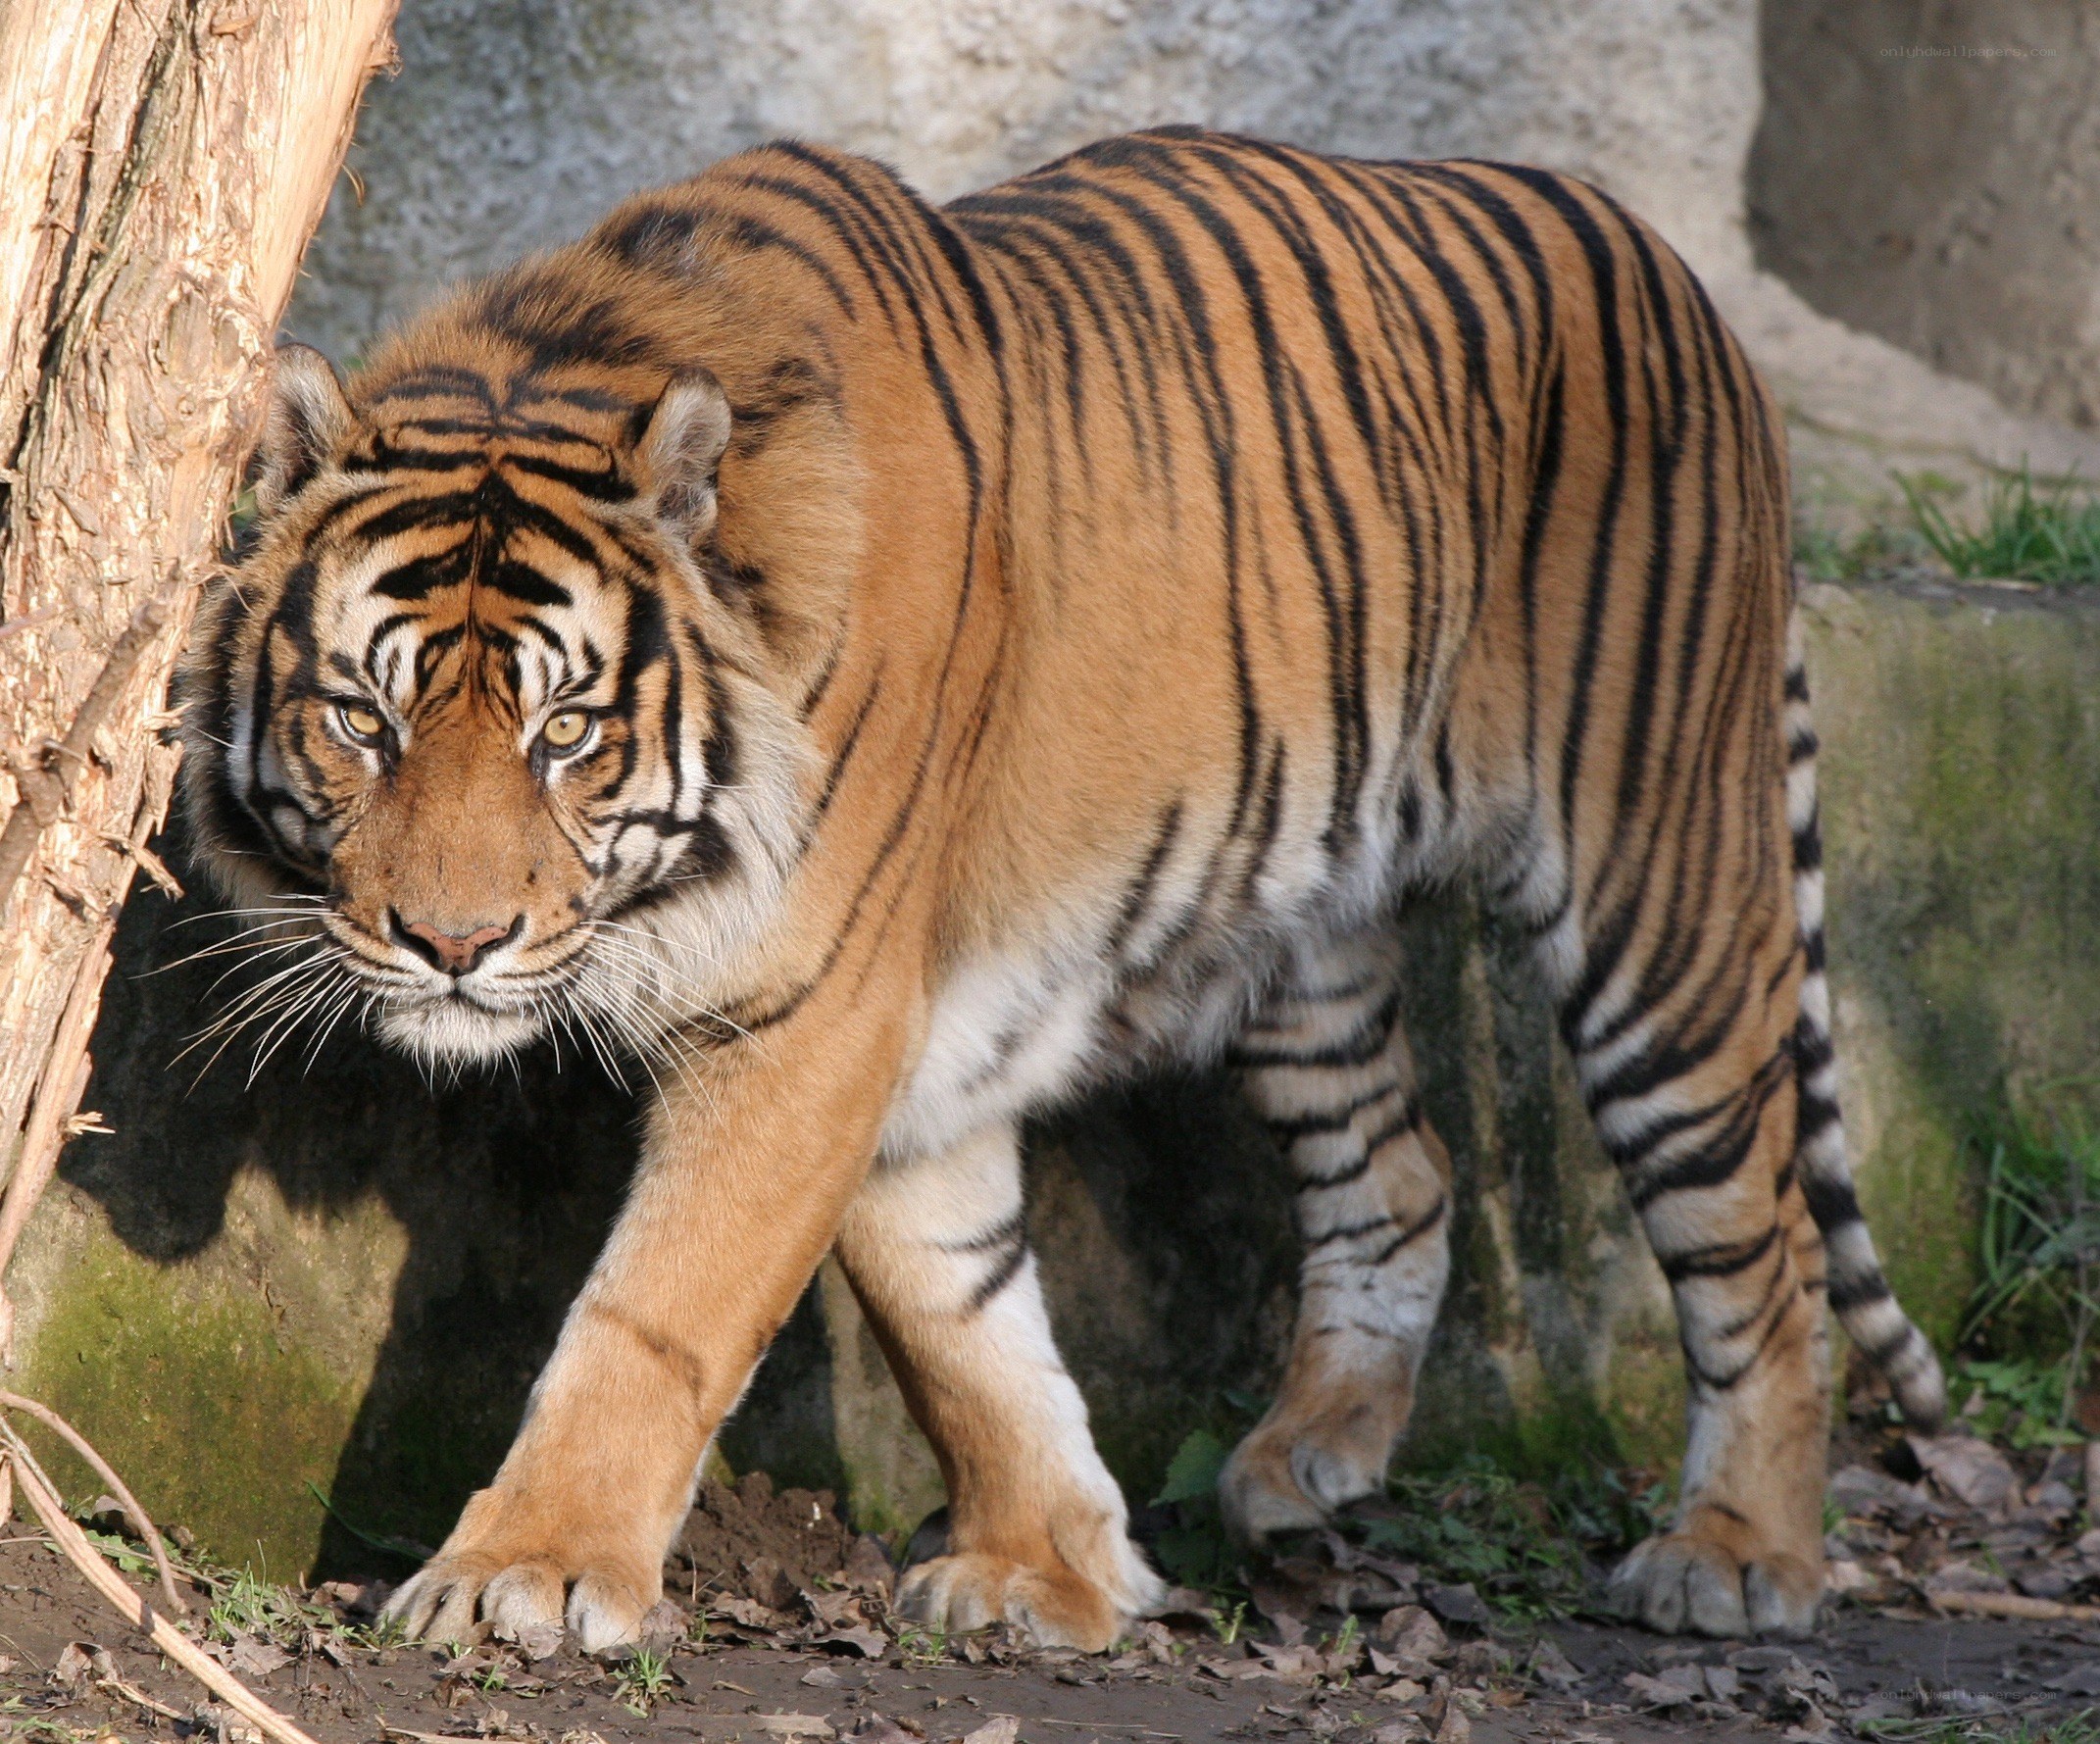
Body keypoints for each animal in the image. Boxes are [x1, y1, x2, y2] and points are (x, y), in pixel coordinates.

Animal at [179, 126, 1945, 1653]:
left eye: (564, 732)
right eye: (363, 717)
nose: (451, 941)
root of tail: (1664, 257)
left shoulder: (816, 1011)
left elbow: (657, 1311)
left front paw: (527, 1574)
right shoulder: (903, 1032)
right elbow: (959, 1316)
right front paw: (1058, 1566)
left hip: (1661, 889)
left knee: (1764, 1239)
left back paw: (1738, 1554)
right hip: (1297, 927)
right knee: (1402, 1170)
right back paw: (1301, 1464)